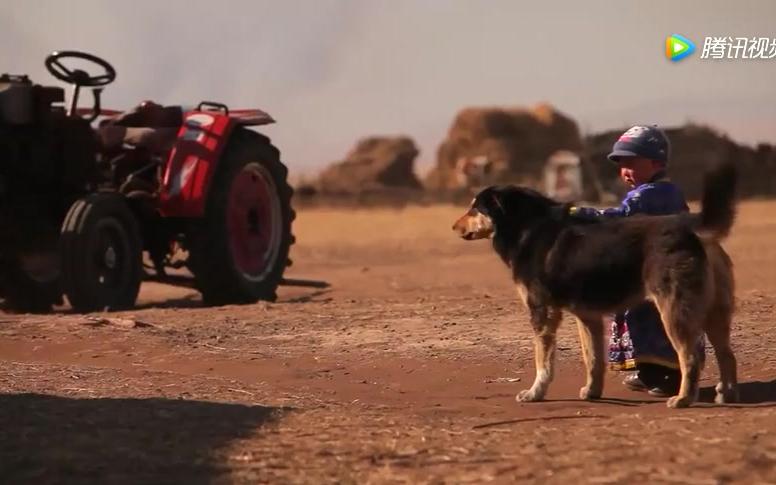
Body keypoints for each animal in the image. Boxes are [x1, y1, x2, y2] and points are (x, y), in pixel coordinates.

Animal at [454, 164, 740, 408]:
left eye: (474, 209)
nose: (454, 227)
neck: (526, 227)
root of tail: (688, 225)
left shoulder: (542, 313)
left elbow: (543, 361)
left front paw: (535, 393)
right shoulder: (587, 316)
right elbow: (592, 359)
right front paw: (592, 392)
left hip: (674, 312)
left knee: (691, 358)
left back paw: (683, 399)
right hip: (713, 312)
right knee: (727, 354)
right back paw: (726, 394)